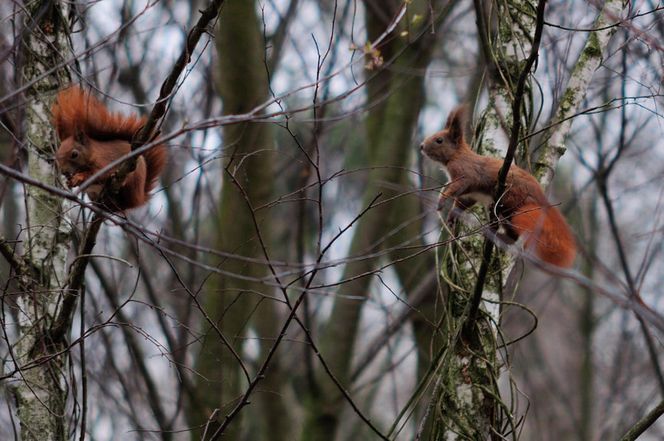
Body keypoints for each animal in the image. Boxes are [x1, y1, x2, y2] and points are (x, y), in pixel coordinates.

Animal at [420, 105, 576, 268]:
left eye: (439, 140)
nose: (421, 146)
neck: (456, 155)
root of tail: (540, 197)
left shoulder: (465, 173)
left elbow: (456, 188)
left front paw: (441, 201)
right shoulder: (470, 194)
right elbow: (463, 202)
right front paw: (452, 216)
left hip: (513, 197)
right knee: (513, 233)